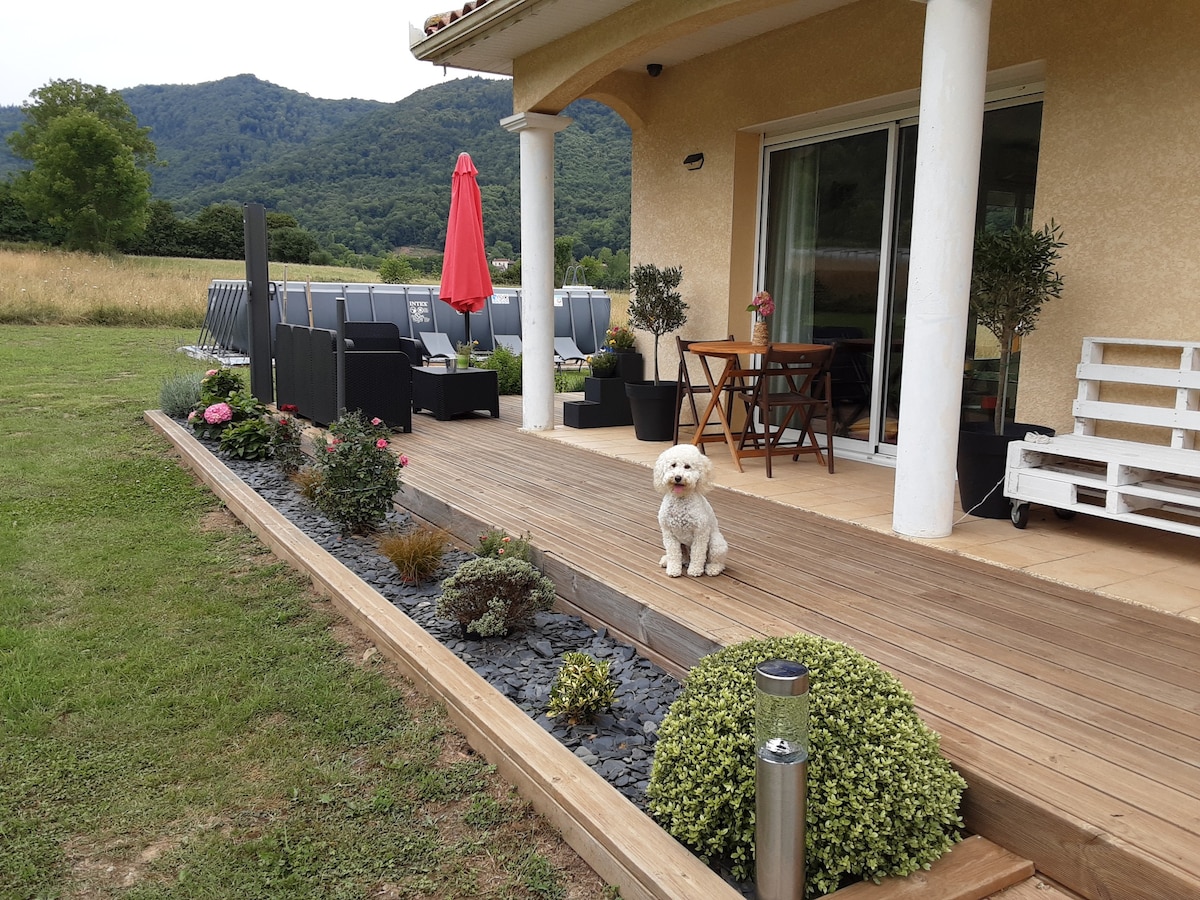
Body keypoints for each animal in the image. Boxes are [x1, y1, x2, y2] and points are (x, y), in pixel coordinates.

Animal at [652, 444, 724, 578]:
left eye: (687, 466)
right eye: (673, 465)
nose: (677, 477)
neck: (681, 499)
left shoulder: (700, 533)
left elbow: (698, 554)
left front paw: (695, 570)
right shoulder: (669, 534)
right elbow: (674, 554)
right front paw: (673, 570)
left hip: (716, 543)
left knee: (717, 561)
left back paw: (713, 568)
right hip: (683, 545)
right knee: (683, 557)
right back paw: (669, 560)